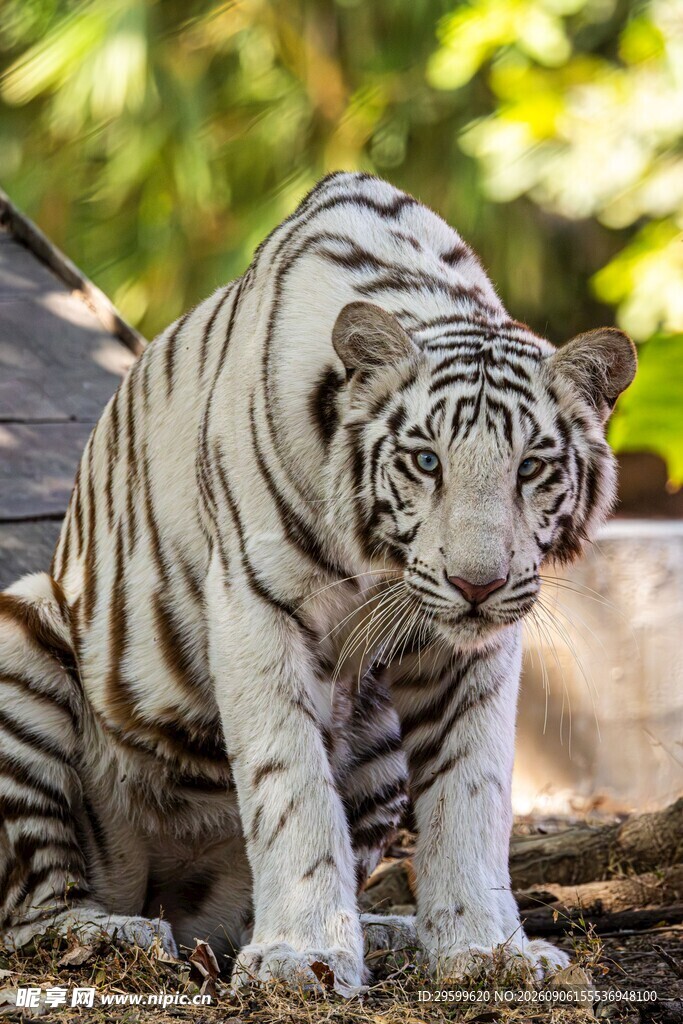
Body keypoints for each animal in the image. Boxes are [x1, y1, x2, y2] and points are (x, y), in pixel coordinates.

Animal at [0, 172, 636, 995]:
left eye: (530, 466)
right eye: (425, 460)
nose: (476, 584)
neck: (378, 566)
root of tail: (164, 896)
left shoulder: (473, 652)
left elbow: (472, 792)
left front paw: (488, 949)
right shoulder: (255, 607)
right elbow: (291, 787)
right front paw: (300, 955)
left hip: (377, 739)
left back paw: (390, 934)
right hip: (22, 627)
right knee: (32, 911)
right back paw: (117, 935)